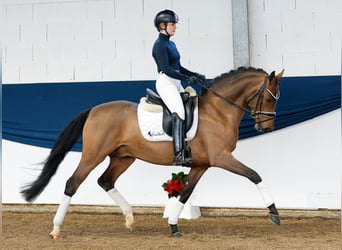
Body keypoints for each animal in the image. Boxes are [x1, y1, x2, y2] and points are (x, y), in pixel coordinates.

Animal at [20, 66, 284, 238]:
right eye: (270, 99)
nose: (266, 128)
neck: (219, 111)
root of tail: (94, 110)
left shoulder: (202, 164)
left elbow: (185, 193)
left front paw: (174, 226)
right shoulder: (221, 158)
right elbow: (254, 175)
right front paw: (274, 214)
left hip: (123, 157)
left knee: (105, 181)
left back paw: (129, 220)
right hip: (92, 156)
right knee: (72, 183)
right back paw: (56, 229)